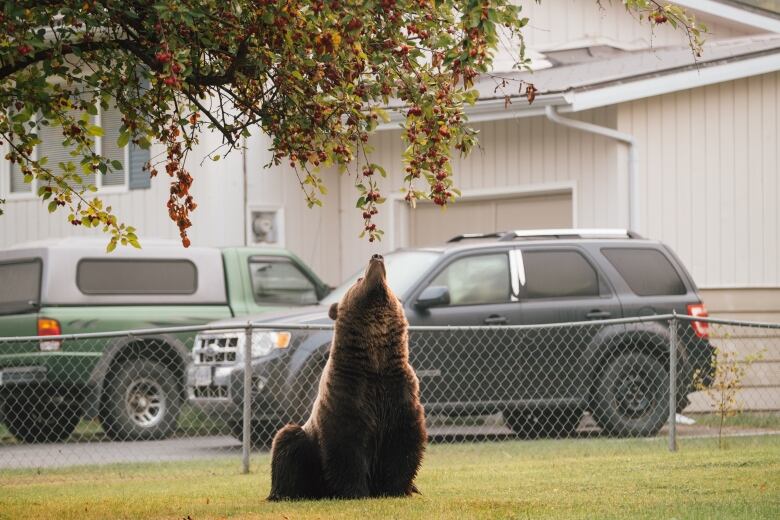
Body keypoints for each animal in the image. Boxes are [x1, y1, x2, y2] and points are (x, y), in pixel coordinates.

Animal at [268, 254, 426, 502]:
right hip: (305, 448)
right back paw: (284, 493)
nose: (376, 257)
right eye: (359, 278)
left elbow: (403, 446)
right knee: (287, 440)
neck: (375, 362)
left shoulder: (399, 394)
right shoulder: (347, 396)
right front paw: (355, 491)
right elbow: (346, 450)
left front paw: (398, 489)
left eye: (388, 280)